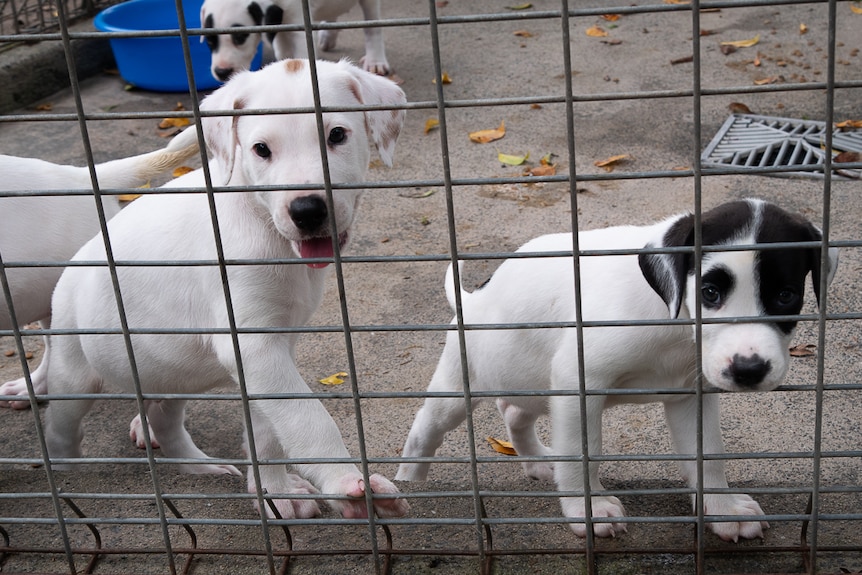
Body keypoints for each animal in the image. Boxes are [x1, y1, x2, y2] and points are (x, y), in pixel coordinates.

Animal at [37, 58, 408, 520]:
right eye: (261, 149)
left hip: (167, 369)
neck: (266, 228)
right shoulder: (253, 345)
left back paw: (201, 467)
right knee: (61, 430)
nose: (307, 211)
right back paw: (72, 478)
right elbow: (306, 415)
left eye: (337, 135)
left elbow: (269, 429)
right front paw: (347, 484)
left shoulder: (274, 347)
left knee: (164, 420)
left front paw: (276, 492)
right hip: (75, 371)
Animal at [201, 0, 390, 81]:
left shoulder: (300, 30)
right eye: (209, 42)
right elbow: (283, 54)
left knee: (372, 29)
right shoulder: (279, 28)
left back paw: (376, 60)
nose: (221, 72)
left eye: (240, 37)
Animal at [400, 200, 844, 544]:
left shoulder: (690, 396)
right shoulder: (578, 383)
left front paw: (723, 509)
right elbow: (583, 452)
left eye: (785, 296)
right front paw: (589, 508)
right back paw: (411, 485)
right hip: (461, 385)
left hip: (532, 384)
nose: (749, 369)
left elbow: (708, 456)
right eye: (710, 293)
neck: (674, 322)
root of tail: (473, 300)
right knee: (426, 427)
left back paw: (540, 462)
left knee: (513, 412)